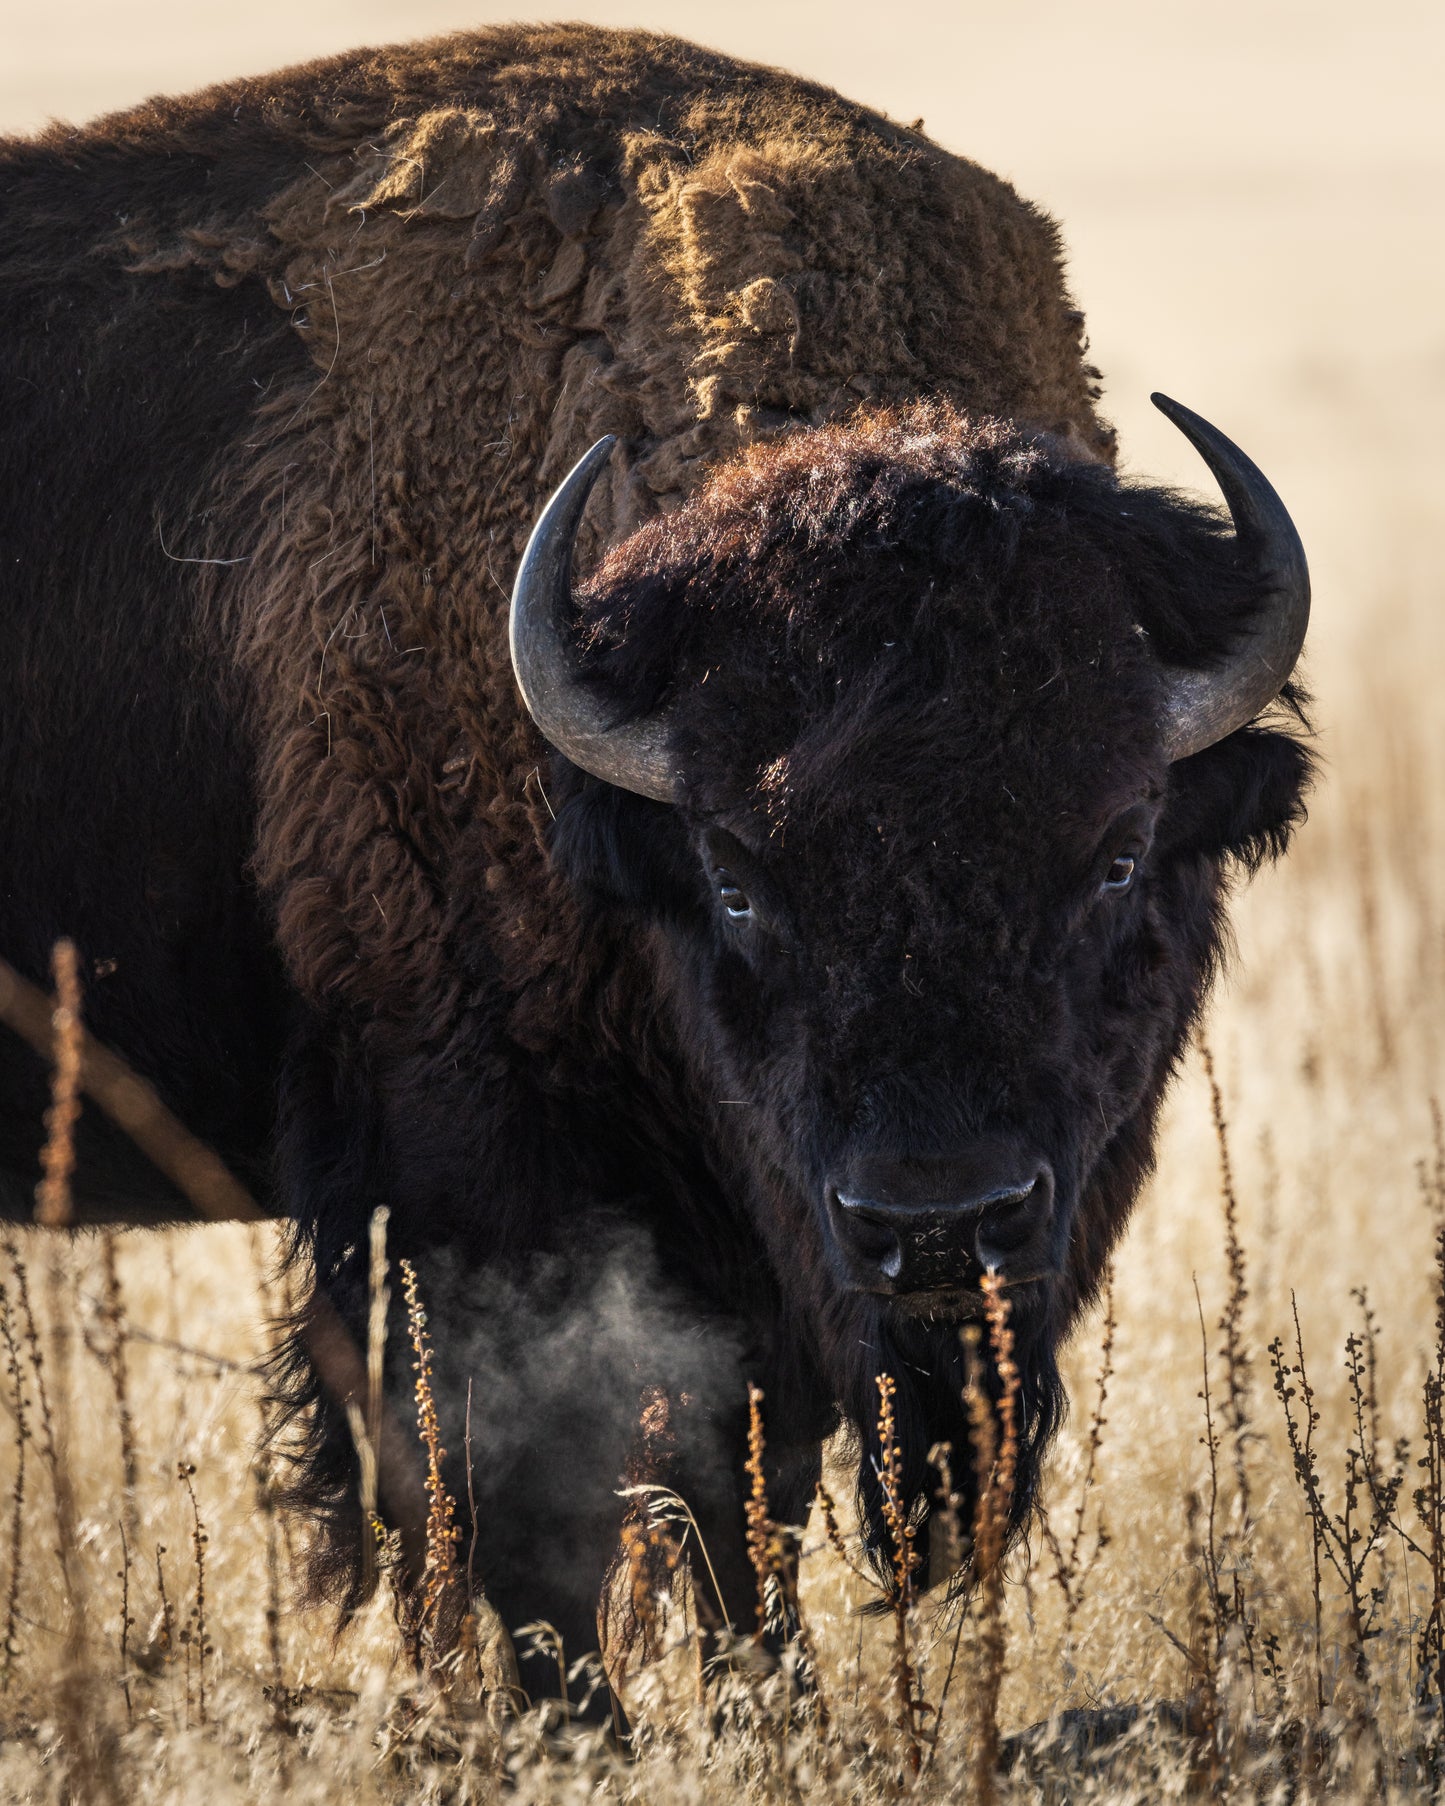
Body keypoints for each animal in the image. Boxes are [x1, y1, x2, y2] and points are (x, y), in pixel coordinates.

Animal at [0, 24, 1311, 1694]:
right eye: (735, 873)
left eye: (1121, 851)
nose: (935, 1222)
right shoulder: (460, 1182)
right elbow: (510, 1512)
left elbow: (746, 1500)